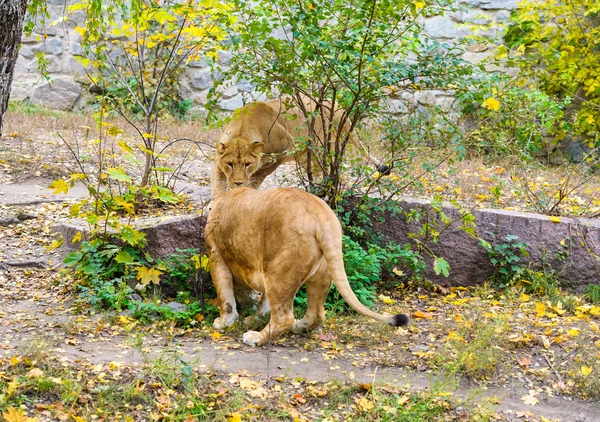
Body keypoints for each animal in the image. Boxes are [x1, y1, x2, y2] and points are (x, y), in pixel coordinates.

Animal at [205, 186, 408, 344]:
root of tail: (324, 218)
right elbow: (264, 302)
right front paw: (254, 318)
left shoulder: (215, 255)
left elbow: (225, 295)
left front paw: (225, 322)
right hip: (321, 273)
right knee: (317, 314)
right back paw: (299, 327)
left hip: (279, 270)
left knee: (284, 317)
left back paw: (256, 337)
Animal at [211, 97, 390, 199]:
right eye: (230, 164)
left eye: (247, 164)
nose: (238, 183)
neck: (243, 130)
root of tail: (337, 106)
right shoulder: (219, 158)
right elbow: (218, 182)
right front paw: (217, 203)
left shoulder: (285, 148)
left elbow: (258, 175)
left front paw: (246, 189)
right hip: (306, 156)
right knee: (318, 172)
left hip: (322, 145)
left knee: (329, 172)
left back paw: (321, 194)